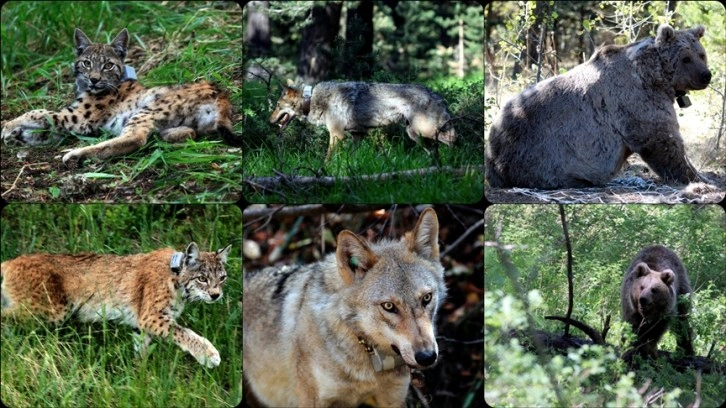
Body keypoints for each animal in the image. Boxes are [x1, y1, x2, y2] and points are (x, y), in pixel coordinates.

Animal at [270, 81, 458, 159]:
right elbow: (352, 158)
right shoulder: (358, 135)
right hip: (415, 135)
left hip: (424, 131)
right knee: (435, 149)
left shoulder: (337, 135)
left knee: (453, 139)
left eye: (278, 106)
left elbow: (327, 159)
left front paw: (323, 173)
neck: (312, 100)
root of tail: (436, 94)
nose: (269, 121)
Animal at [486, 26, 712, 189]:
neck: (657, 75)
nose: (705, 75)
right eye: (685, 58)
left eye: (701, 55)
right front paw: (695, 176)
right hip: (539, 153)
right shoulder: (636, 100)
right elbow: (661, 139)